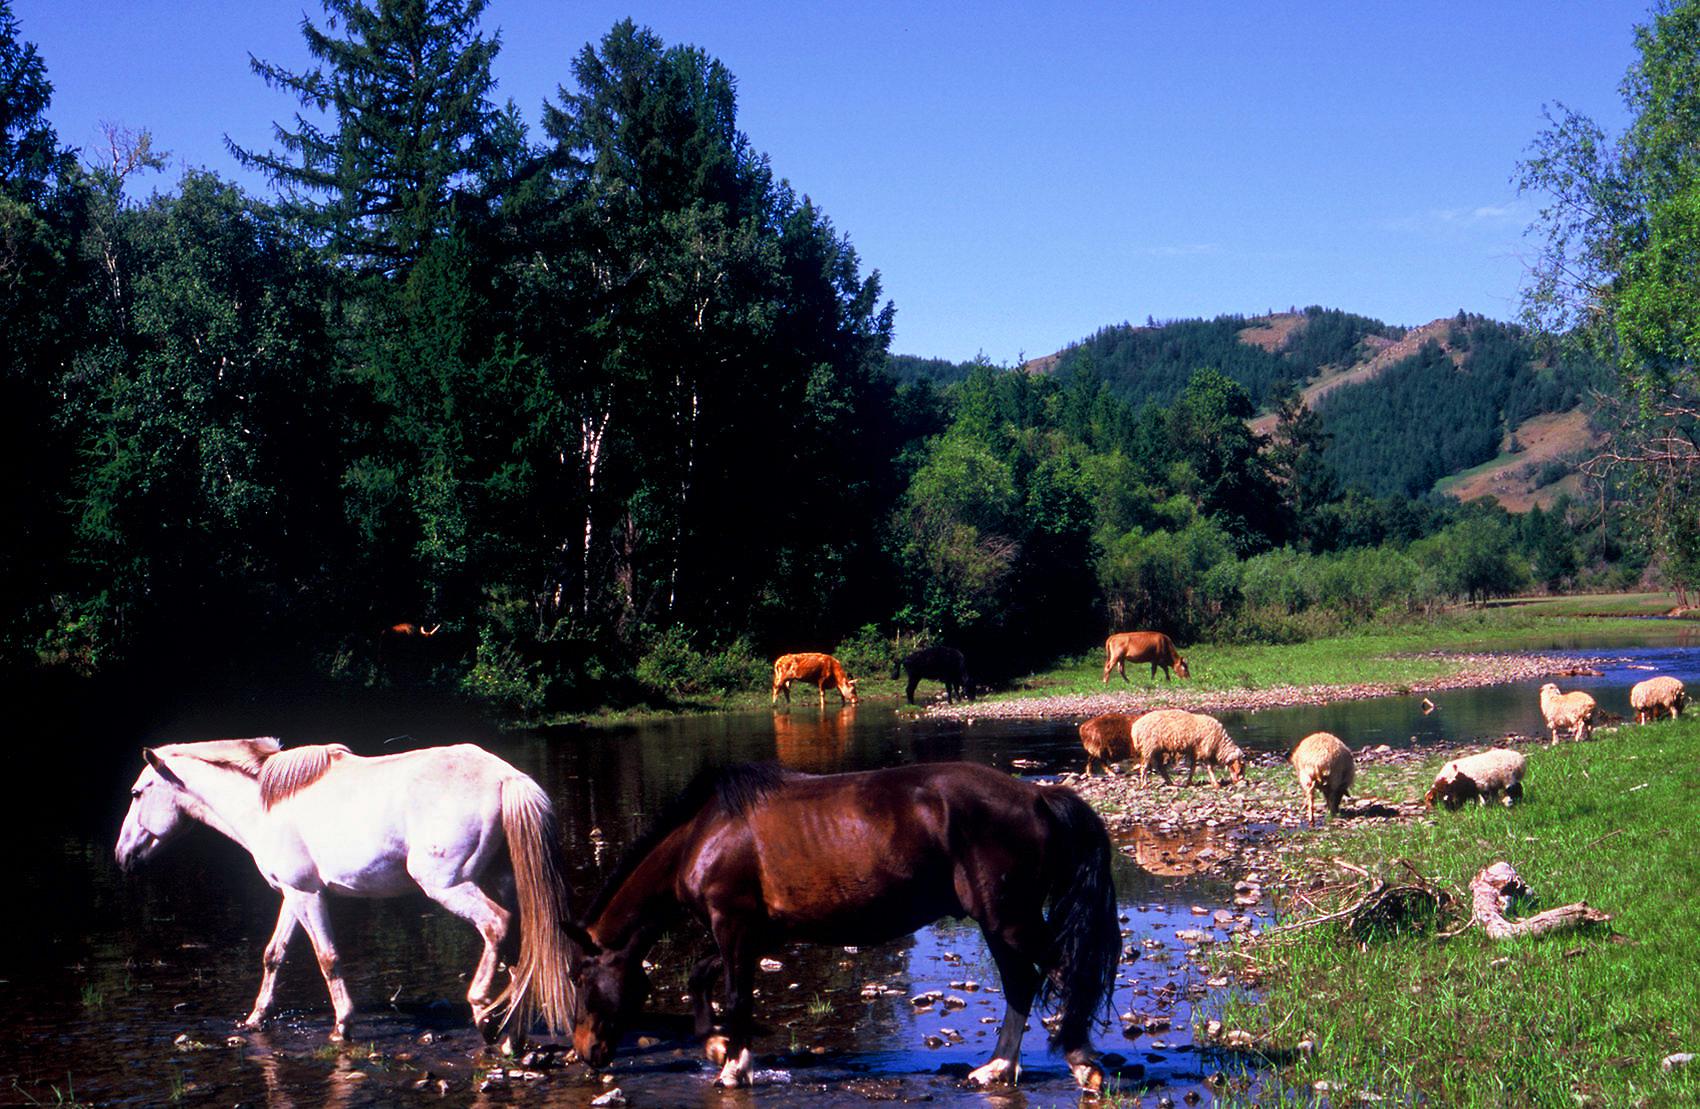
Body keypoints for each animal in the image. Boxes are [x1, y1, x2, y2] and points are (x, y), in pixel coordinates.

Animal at [114, 738, 575, 1044]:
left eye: (136, 793)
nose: (122, 855)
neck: (265, 805)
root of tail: (506, 776)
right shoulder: (294, 895)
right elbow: (273, 956)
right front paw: (255, 1019)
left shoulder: (309, 896)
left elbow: (328, 958)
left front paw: (342, 1026)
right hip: (499, 882)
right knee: (520, 947)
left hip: (448, 886)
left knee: (496, 925)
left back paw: (482, 1009)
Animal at [563, 762, 1120, 1091]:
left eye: (580, 978)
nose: (585, 1051)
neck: (704, 833)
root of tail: (1036, 798)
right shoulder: (753, 934)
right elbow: (702, 977)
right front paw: (717, 1043)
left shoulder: (733, 926)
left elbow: (736, 997)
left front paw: (733, 1066)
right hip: (1001, 924)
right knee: (1023, 983)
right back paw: (999, 1068)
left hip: (1008, 921)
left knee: (1061, 971)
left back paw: (1079, 1061)